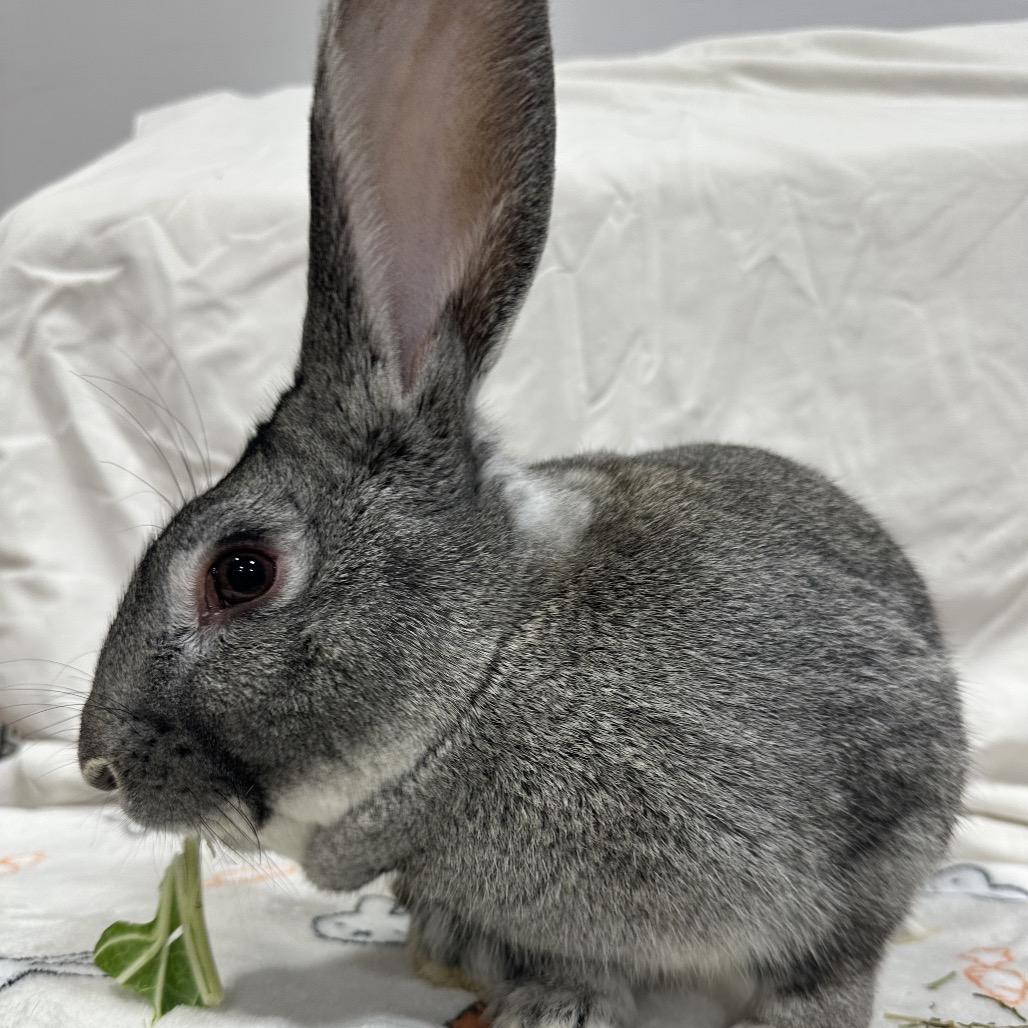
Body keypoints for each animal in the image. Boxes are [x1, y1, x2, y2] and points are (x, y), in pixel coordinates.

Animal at [77, 1, 968, 1025]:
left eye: (241, 573)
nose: (95, 766)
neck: (488, 669)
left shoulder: (881, 808)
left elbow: (835, 955)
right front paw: (546, 995)